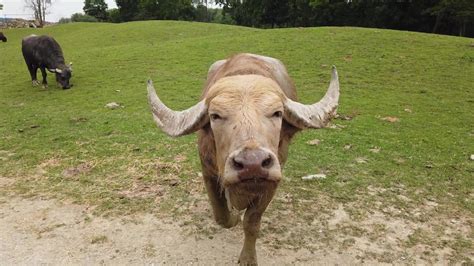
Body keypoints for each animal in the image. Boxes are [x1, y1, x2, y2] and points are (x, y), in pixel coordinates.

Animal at [146, 52, 338, 264]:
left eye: (277, 113)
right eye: (215, 116)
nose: (252, 164)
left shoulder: (271, 182)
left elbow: (251, 223)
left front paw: (248, 257)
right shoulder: (208, 172)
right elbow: (222, 216)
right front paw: (234, 215)